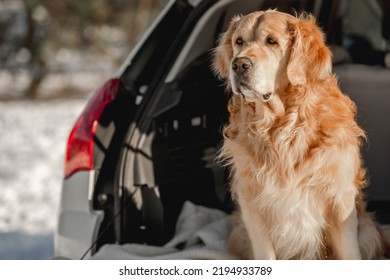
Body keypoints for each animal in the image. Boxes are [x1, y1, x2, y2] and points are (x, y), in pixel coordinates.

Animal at [213, 9, 386, 260]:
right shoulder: (253, 207)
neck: (282, 127)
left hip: (369, 234)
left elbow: (350, 253)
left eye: (271, 41)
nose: (239, 65)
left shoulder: (340, 201)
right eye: (239, 41)